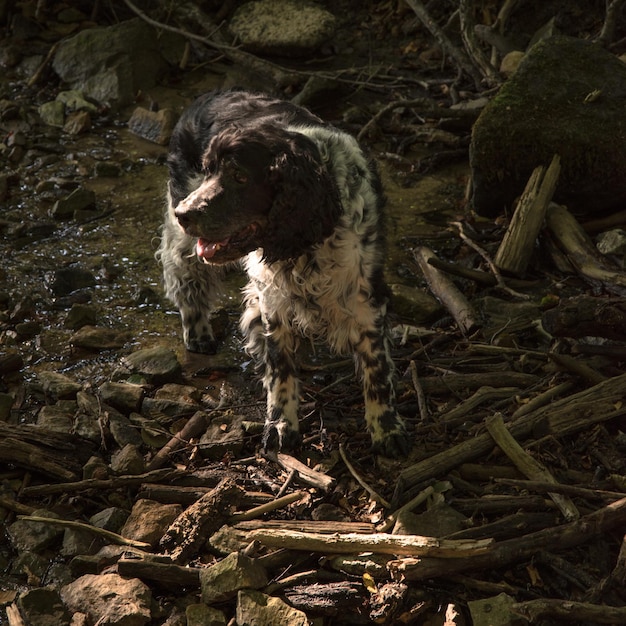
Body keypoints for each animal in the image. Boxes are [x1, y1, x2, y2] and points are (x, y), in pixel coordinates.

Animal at [158, 89, 408, 454]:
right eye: (208, 171)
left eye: (240, 176)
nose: (183, 213)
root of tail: (208, 95)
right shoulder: (274, 302)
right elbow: (280, 369)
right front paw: (280, 425)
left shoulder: (365, 296)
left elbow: (377, 369)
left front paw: (386, 429)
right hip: (184, 239)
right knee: (186, 282)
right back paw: (199, 333)